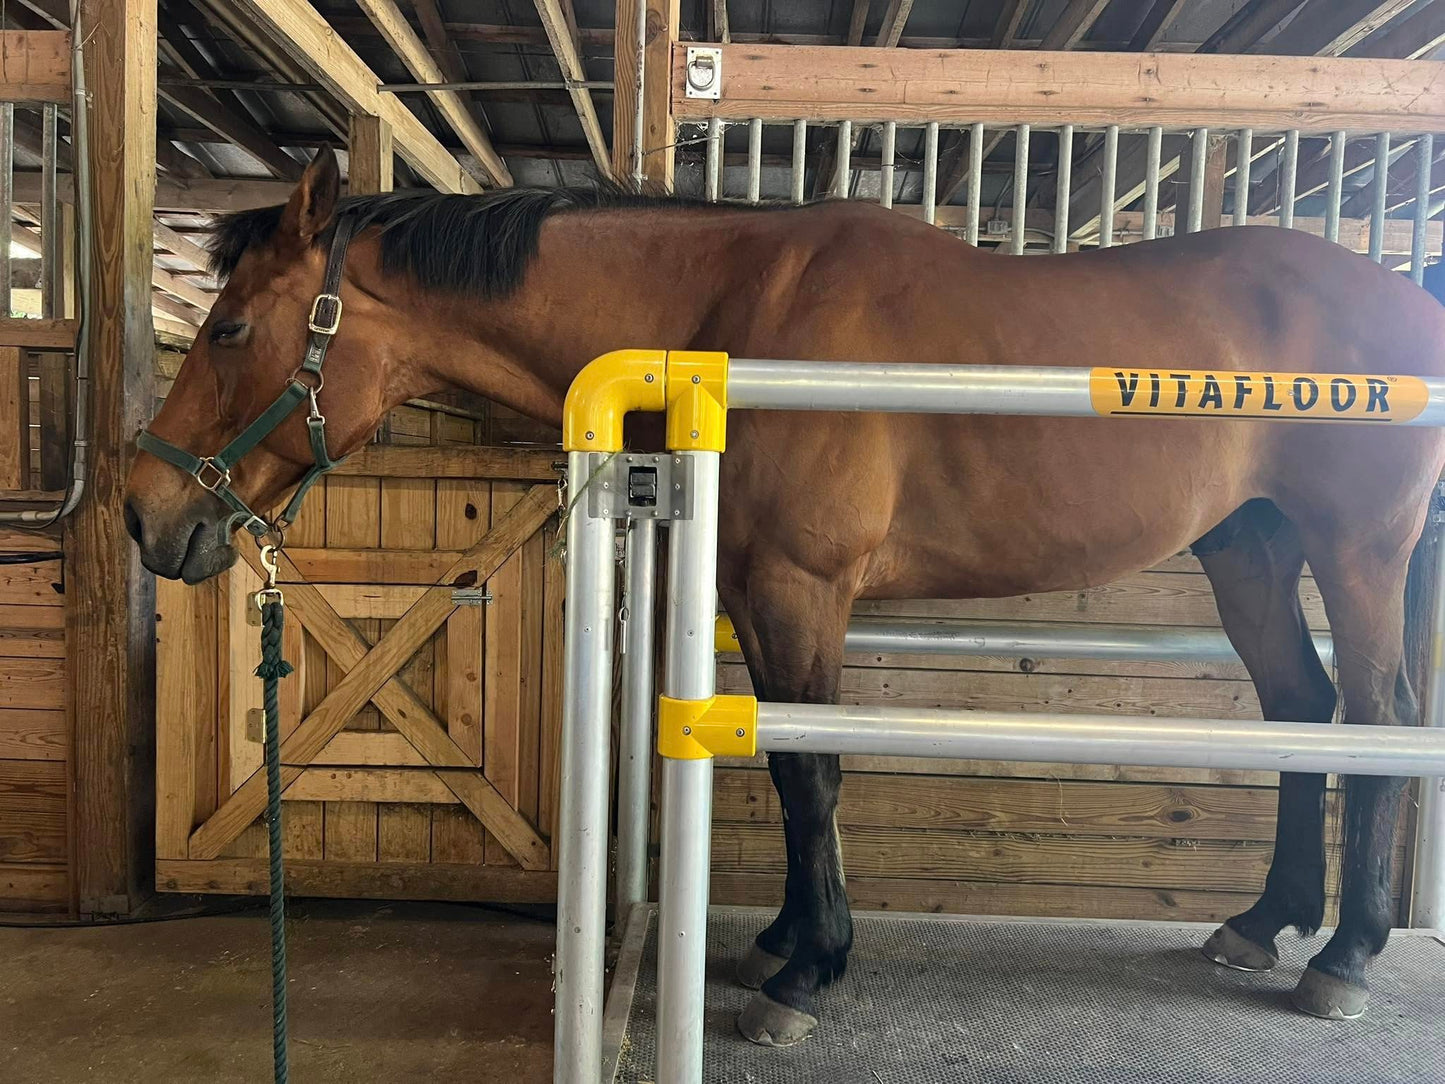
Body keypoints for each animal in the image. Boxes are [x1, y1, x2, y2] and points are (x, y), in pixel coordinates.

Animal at [125, 147, 1445, 1045]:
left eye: (229, 326)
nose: (147, 512)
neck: (732, 316)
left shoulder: (800, 589)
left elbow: (813, 769)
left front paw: (806, 973)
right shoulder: (757, 595)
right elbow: (785, 759)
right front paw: (782, 941)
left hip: (1355, 550)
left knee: (1377, 719)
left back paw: (1342, 956)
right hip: (1247, 551)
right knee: (1298, 712)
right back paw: (1262, 922)